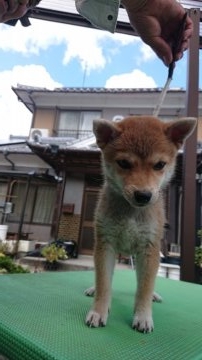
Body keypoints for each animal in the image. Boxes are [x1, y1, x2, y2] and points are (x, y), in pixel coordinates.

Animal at [85, 115, 196, 332]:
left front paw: (143, 315)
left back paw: (153, 295)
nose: (143, 195)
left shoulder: (149, 248)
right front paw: (99, 311)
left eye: (160, 165)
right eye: (124, 163)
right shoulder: (105, 244)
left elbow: (144, 288)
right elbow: (104, 282)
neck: (131, 212)